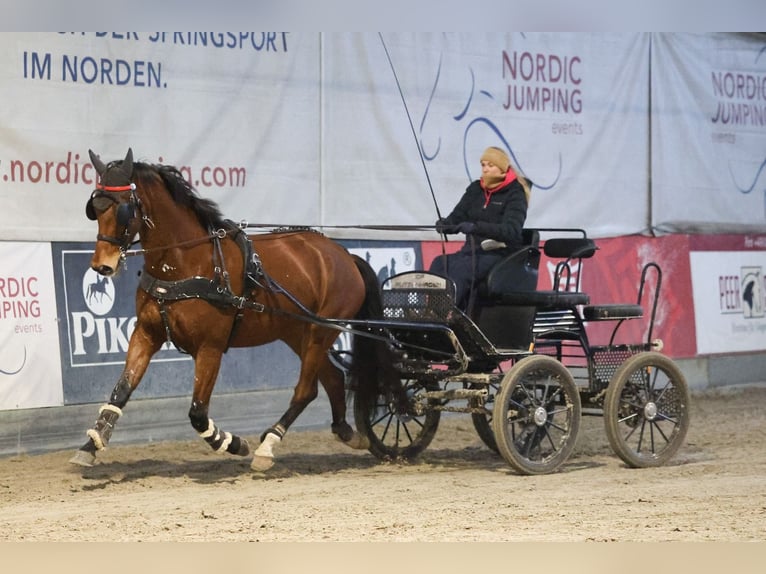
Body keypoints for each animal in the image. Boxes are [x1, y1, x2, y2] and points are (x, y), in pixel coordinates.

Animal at [71, 148, 392, 472]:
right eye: (94, 208)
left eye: (123, 207)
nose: (102, 265)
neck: (187, 263)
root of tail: (345, 255)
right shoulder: (146, 334)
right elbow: (121, 391)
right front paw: (90, 446)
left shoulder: (210, 347)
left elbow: (198, 413)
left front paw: (232, 443)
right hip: (296, 331)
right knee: (331, 379)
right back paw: (348, 432)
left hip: (320, 330)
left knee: (305, 389)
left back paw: (268, 445)